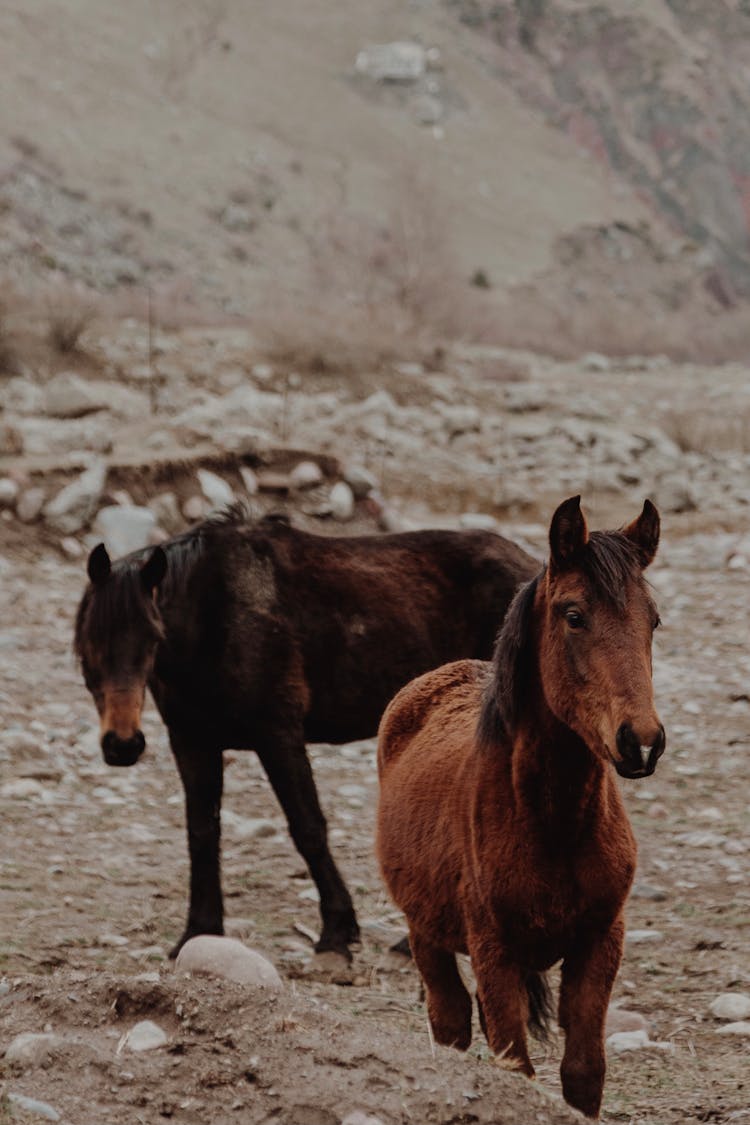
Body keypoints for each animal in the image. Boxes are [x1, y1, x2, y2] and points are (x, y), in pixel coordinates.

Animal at [73, 510, 537, 958]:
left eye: (152, 636)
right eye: (87, 642)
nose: (123, 744)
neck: (214, 618)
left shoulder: (278, 734)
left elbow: (308, 828)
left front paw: (337, 930)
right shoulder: (191, 740)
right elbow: (202, 832)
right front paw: (198, 930)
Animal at [377, 497, 665, 1120]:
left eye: (653, 620)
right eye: (573, 615)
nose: (642, 742)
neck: (552, 822)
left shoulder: (599, 942)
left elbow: (583, 1073)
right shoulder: (494, 951)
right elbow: (517, 1069)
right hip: (426, 934)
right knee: (451, 1022)